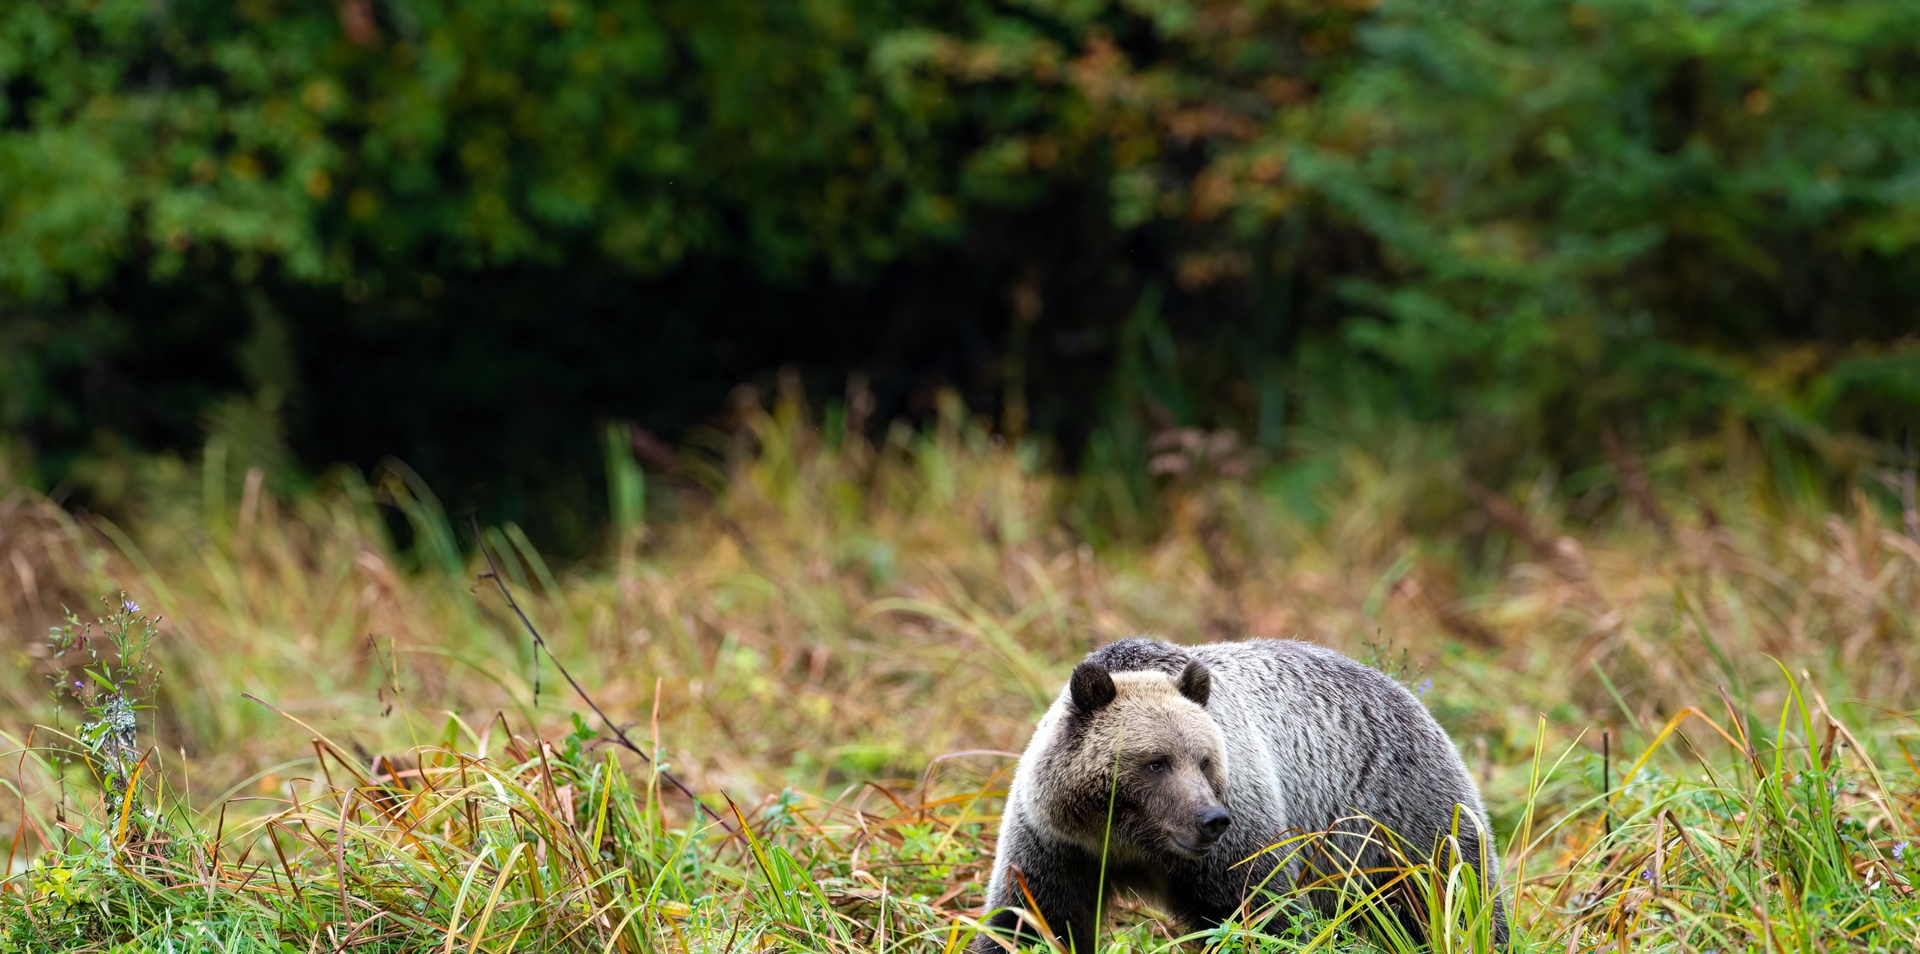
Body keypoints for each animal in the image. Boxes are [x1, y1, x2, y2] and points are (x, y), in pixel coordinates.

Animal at [970, 637, 1505, 952]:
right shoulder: (1057, 846)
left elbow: (1263, 915)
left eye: (1206, 760)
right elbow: (1030, 921)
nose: (1210, 819)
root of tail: (1403, 689)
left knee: (1455, 893)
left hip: (1396, 819)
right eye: (1156, 762)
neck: (1127, 843)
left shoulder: (1239, 841)